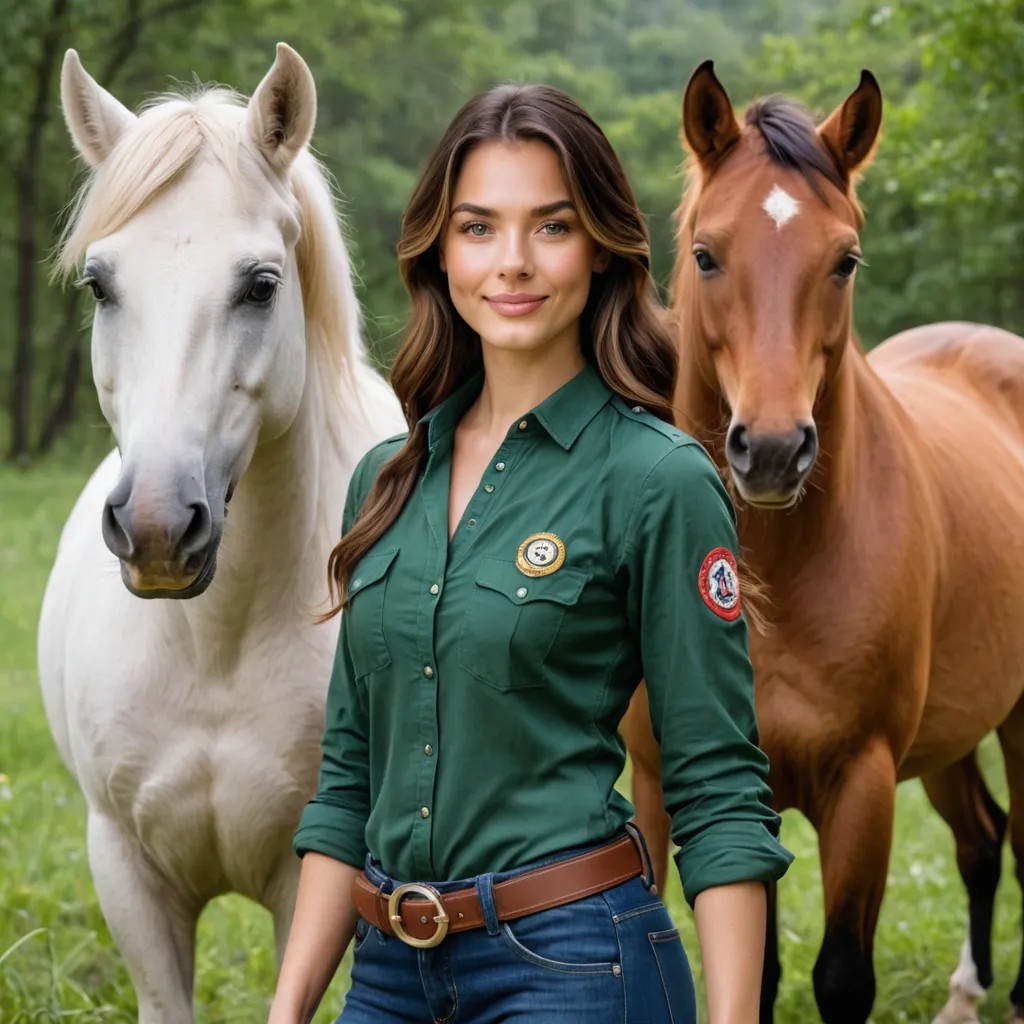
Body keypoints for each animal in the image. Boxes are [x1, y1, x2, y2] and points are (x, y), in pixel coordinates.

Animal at [37, 44, 404, 1022]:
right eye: (100, 284)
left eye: (261, 285)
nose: (159, 529)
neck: (215, 645)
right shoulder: (128, 873)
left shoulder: (309, 882)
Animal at [621, 62, 1024, 1024]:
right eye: (705, 253)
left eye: (844, 260)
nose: (770, 451)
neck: (770, 578)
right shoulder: (680, 782)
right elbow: (755, 968)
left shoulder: (863, 781)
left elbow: (841, 976)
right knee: (982, 839)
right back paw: (965, 996)